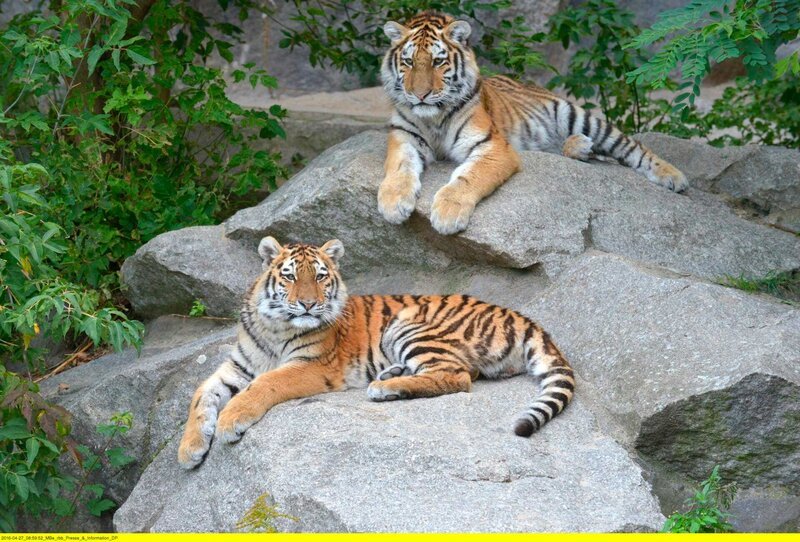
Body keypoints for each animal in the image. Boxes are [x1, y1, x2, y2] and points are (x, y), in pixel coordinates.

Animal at [177, 237, 575, 469]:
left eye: (320, 276)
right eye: (290, 276)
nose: (308, 304)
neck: (275, 326)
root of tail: (519, 315)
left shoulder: (311, 365)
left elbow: (265, 384)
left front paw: (230, 420)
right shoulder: (236, 367)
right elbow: (200, 394)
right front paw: (189, 449)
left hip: (409, 325)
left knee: (458, 375)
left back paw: (386, 388)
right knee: (465, 370)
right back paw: (391, 375)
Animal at [378, 11, 688, 235]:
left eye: (438, 62)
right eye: (408, 62)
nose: (420, 94)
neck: (434, 117)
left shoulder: (492, 146)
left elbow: (468, 177)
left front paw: (448, 212)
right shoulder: (404, 136)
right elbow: (398, 167)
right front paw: (393, 203)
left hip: (579, 115)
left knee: (634, 148)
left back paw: (674, 177)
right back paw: (580, 147)